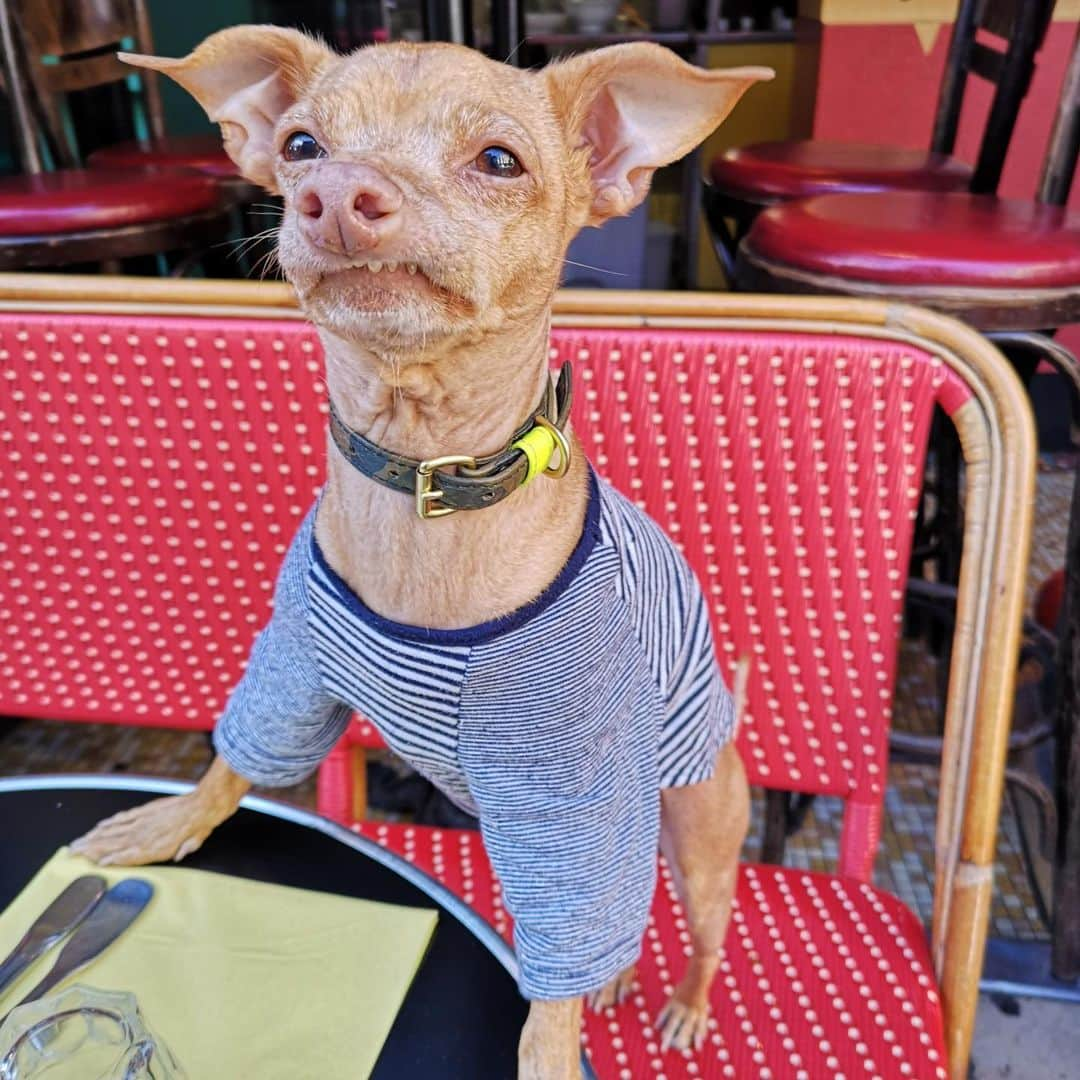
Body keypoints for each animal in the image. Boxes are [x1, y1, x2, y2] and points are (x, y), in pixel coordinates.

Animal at [73, 27, 768, 1080]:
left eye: (499, 161)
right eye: (302, 145)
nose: (337, 193)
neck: (422, 483)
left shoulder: (569, 802)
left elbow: (554, 984)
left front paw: (552, 1050)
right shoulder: (295, 663)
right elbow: (236, 762)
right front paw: (170, 825)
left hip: (695, 830)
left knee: (697, 926)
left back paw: (681, 1003)